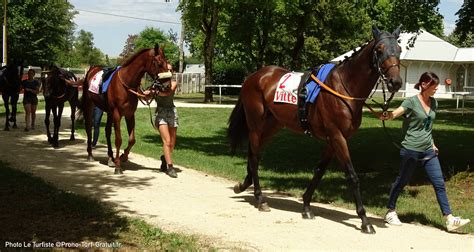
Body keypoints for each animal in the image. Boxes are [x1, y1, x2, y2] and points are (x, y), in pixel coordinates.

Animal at [80, 45, 171, 174]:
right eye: (159, 63)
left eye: (167, 62)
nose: (167, 85)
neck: (126, 83)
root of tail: (92, 69)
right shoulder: (117, 114)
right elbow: (118, 139)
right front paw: (118, 166)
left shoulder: (129, 114)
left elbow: (132, 139)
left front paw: (123, 156)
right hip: (90, 105)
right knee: (88, 127)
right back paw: (90, 155)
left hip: (109, 112)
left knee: (107, 131)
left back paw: (111, 157)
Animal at [228, 26, 402, 233]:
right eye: (379, 50)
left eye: (399, 49)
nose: (395, 82)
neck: (344, 88)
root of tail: (254, 77)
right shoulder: (337, 136)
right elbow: (352, 176)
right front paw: (364, 220)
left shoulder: (333, 140)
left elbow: (319, 171)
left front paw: (306, 206)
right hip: (255, 124)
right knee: (254, 157)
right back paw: (260, 198)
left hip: (273, 125)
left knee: (254, 153)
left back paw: (244, 184)